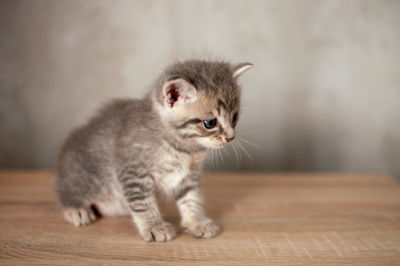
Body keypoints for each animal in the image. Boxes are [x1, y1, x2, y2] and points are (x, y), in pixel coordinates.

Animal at [55, 59, 252, 242]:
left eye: (234, 117)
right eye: (210, 123)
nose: (231, 137)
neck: (184, 148)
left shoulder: (188, 176)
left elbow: (191, 198)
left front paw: (196, 222)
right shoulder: (133, 171)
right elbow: (143, 202)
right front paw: (155, 227)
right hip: (87, 176)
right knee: (64, 189)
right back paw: (75, 208)